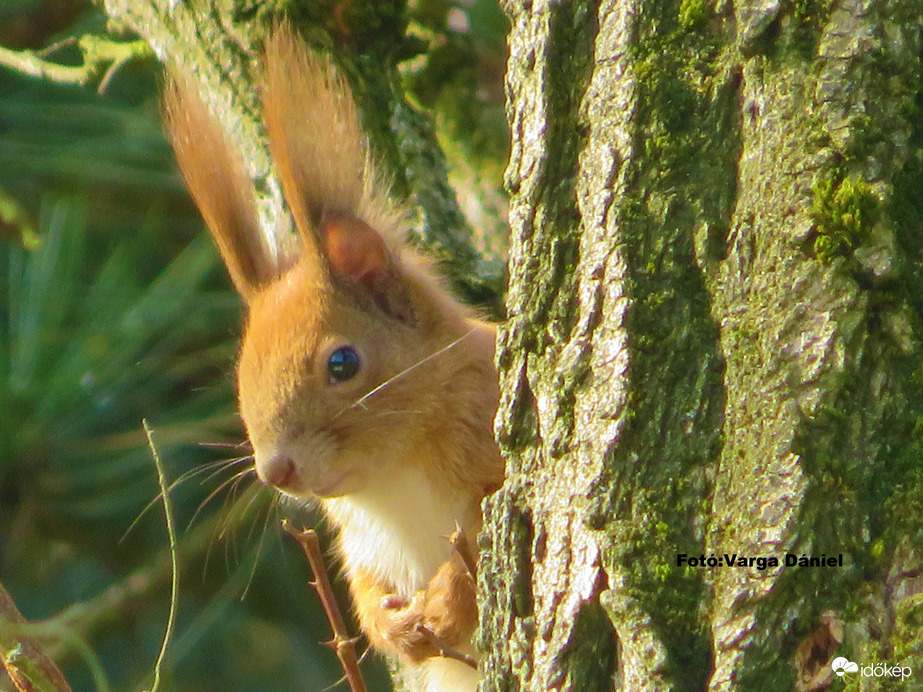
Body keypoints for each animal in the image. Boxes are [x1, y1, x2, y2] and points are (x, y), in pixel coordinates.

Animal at [162, 23, 502, 692]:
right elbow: (366, 591)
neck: (393, 481)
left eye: (342, 365)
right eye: (240, 378)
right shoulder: (359, 542)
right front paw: (391, 626)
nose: (276, 471)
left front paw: (449, 602)